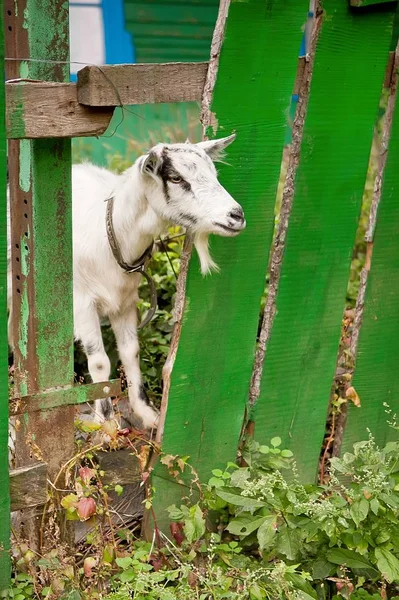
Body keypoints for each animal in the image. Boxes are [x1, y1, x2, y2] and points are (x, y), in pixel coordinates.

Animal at [8, 135, 247, 426]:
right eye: (176, 178)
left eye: (213, 173)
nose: (236, 216)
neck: (111, 233)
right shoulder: (81, 303)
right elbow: (100, 361)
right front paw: (107, 423)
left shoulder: (126, 302)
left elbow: (131, 352)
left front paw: (147, 413)